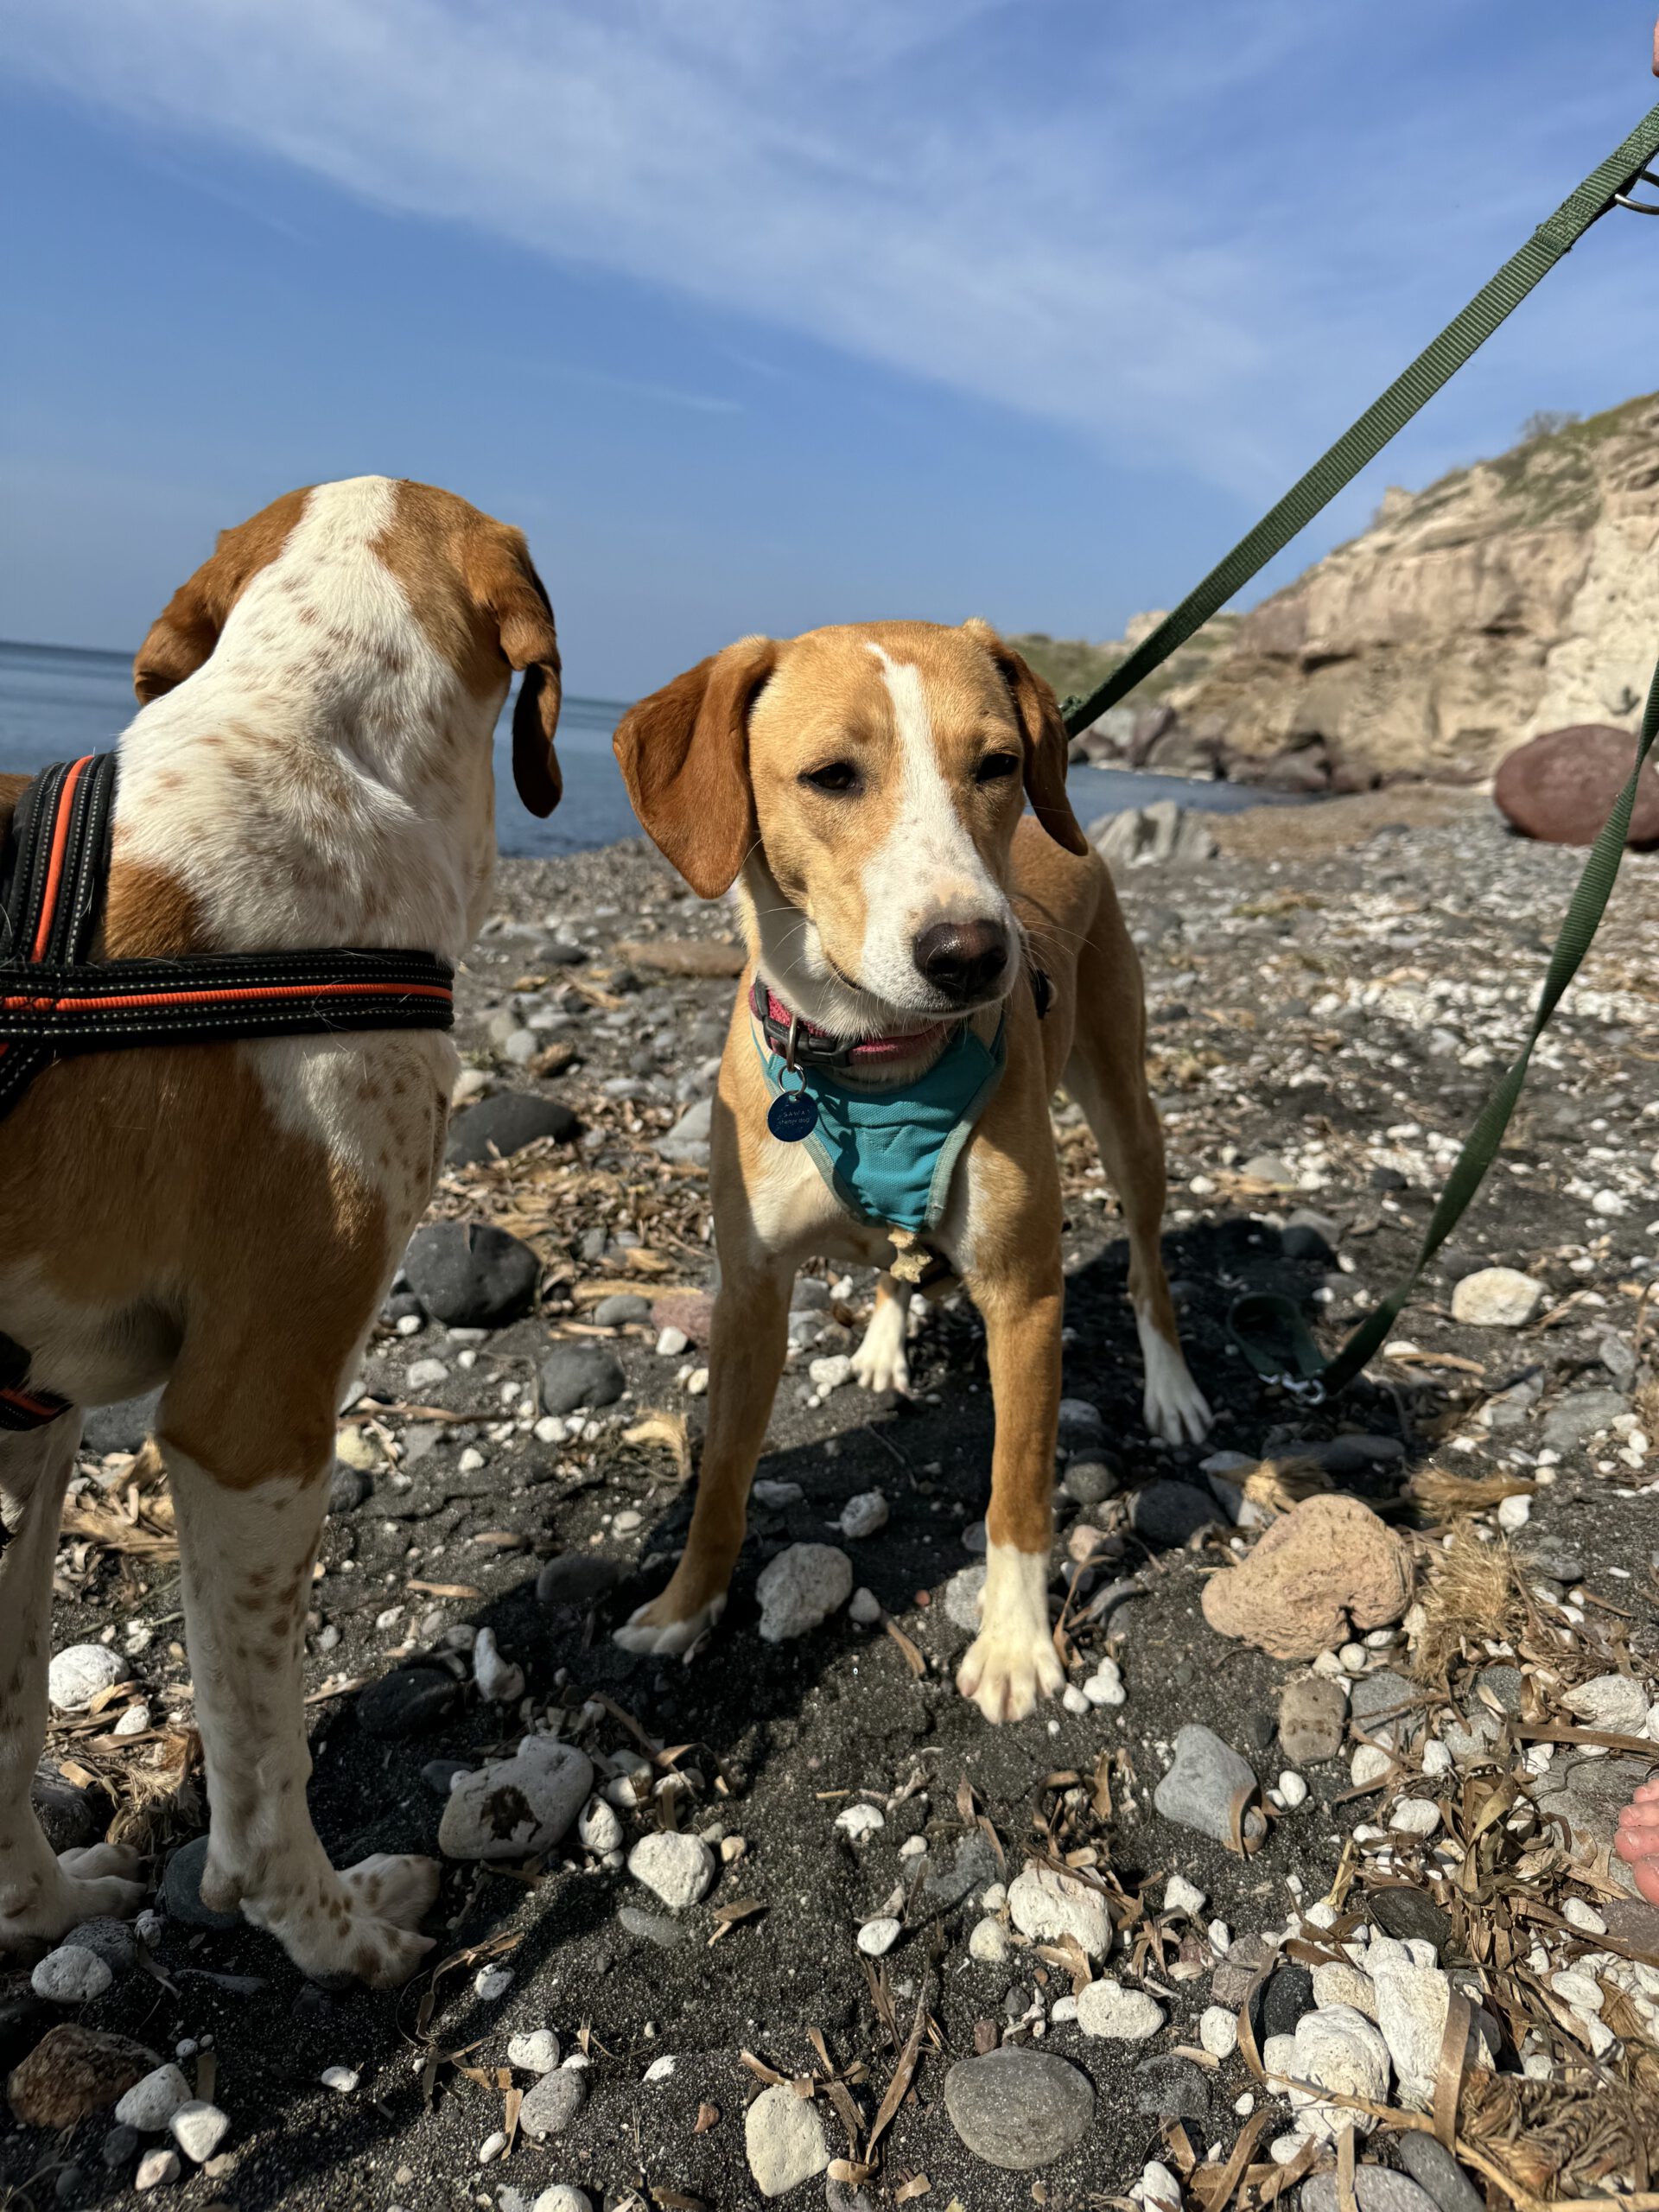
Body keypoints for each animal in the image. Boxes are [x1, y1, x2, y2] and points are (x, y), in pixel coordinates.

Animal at [0, 477, 561, 1985]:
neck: (290, 743)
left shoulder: (31, 1429)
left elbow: (7, 1710)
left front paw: (41, 1911)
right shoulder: (249, 1423)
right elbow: (262, 1765)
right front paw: (330, 1930)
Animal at [611, 618, 1211, 1722]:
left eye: (999, 764)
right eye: (831, 776)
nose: (971, 953)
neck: (873, 1056)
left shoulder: (1025, 1296)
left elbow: (1018, 1487)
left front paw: (1015, 1643)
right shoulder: (748, 1290)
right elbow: (720, 1476)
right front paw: (684, 1605)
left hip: (1126, 1110)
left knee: (1149, 1261)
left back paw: (1173, 1386)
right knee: (897, 1255)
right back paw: (887, 1336)